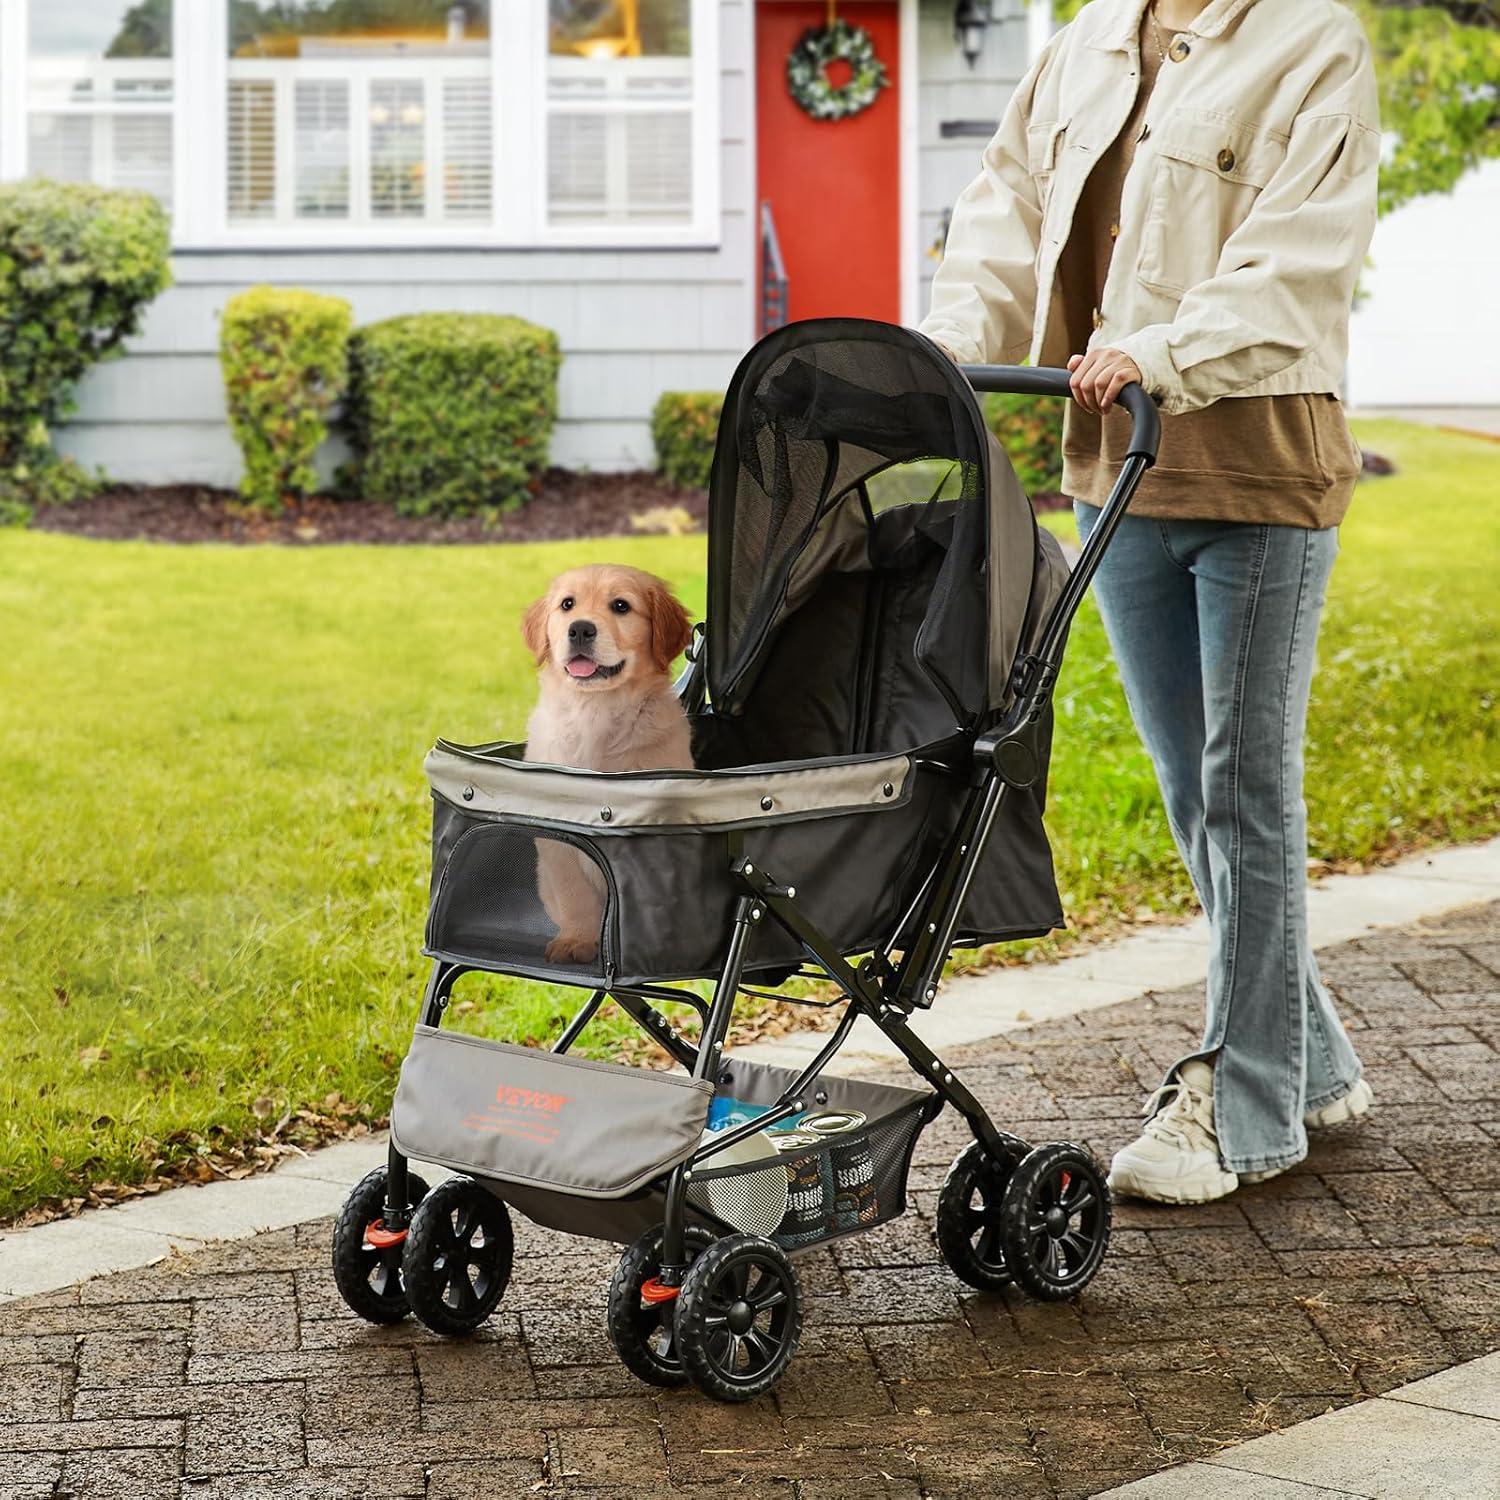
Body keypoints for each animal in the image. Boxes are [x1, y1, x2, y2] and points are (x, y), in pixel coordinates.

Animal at [525, 564, 693, 960]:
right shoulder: (559, 848)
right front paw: (576, 940)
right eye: (567, 604)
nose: (580, 629)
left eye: (621, 606)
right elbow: (576, 896)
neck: (596, 710)